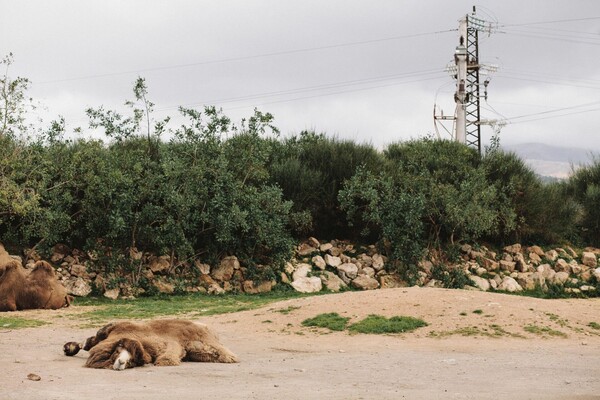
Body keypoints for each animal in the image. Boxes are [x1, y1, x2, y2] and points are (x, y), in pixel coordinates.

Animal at [62, 320, 237, 370]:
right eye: (117, 350)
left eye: (132, 361)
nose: (121, 363)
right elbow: (91, 341)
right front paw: (69, 347)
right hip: (201, 349)